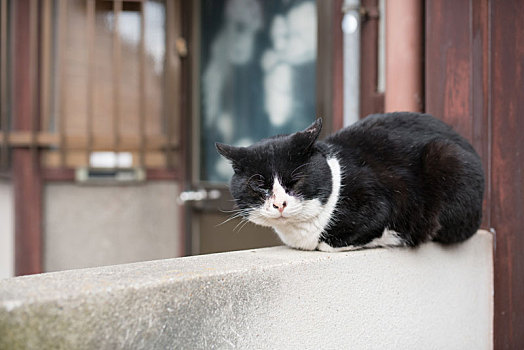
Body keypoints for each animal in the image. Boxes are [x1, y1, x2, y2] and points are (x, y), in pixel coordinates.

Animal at [215, 112, 486, 252]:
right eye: (259, 185)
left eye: (296, 180)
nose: (279, 204)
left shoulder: (379, 200)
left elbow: (337, 240)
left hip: (445, 157)